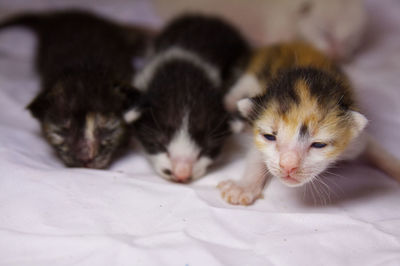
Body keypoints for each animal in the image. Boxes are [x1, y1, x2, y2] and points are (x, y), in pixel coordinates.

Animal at [219, 41, 400, 205]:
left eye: (319, 144)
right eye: (270, 137)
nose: (288, 166)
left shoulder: (354, 142)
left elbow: (375, 148)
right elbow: (256, 155)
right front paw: (243, 187)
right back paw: (231, 101)